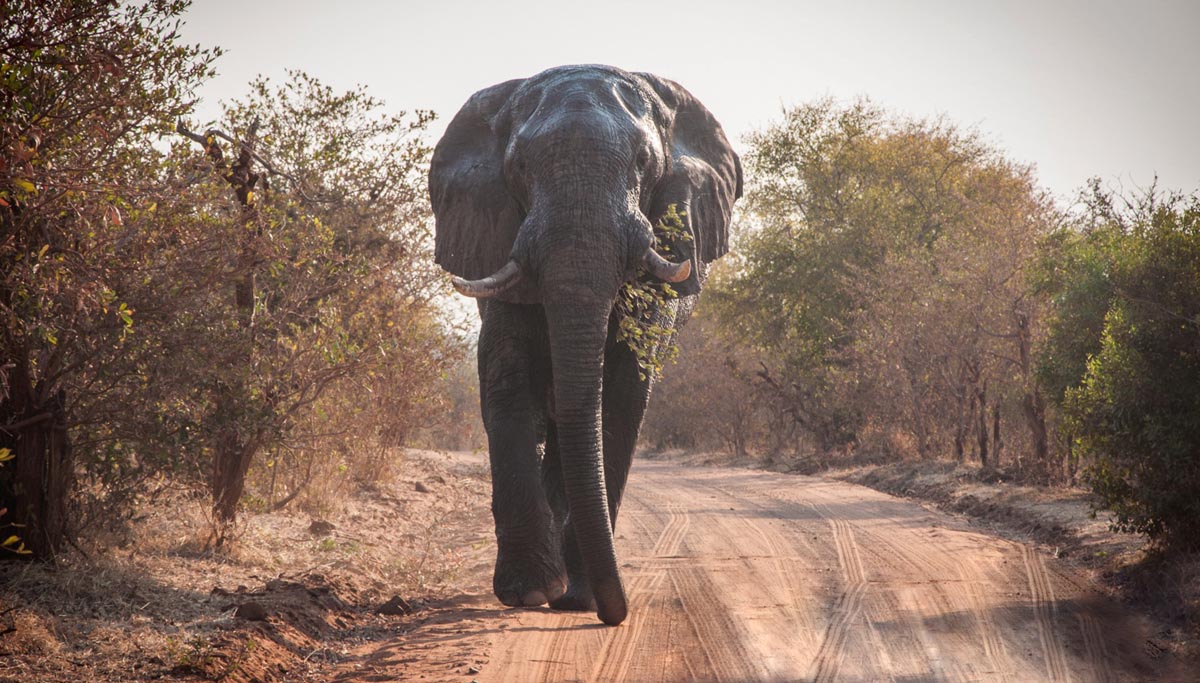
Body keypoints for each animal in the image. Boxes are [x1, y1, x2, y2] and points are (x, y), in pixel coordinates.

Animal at [432, 63, 739, 624]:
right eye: (520, 167)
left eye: (643, 163)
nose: (617, 614)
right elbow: (508, 381)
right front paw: (530, 592)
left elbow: (622, 394)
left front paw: (579, 598)